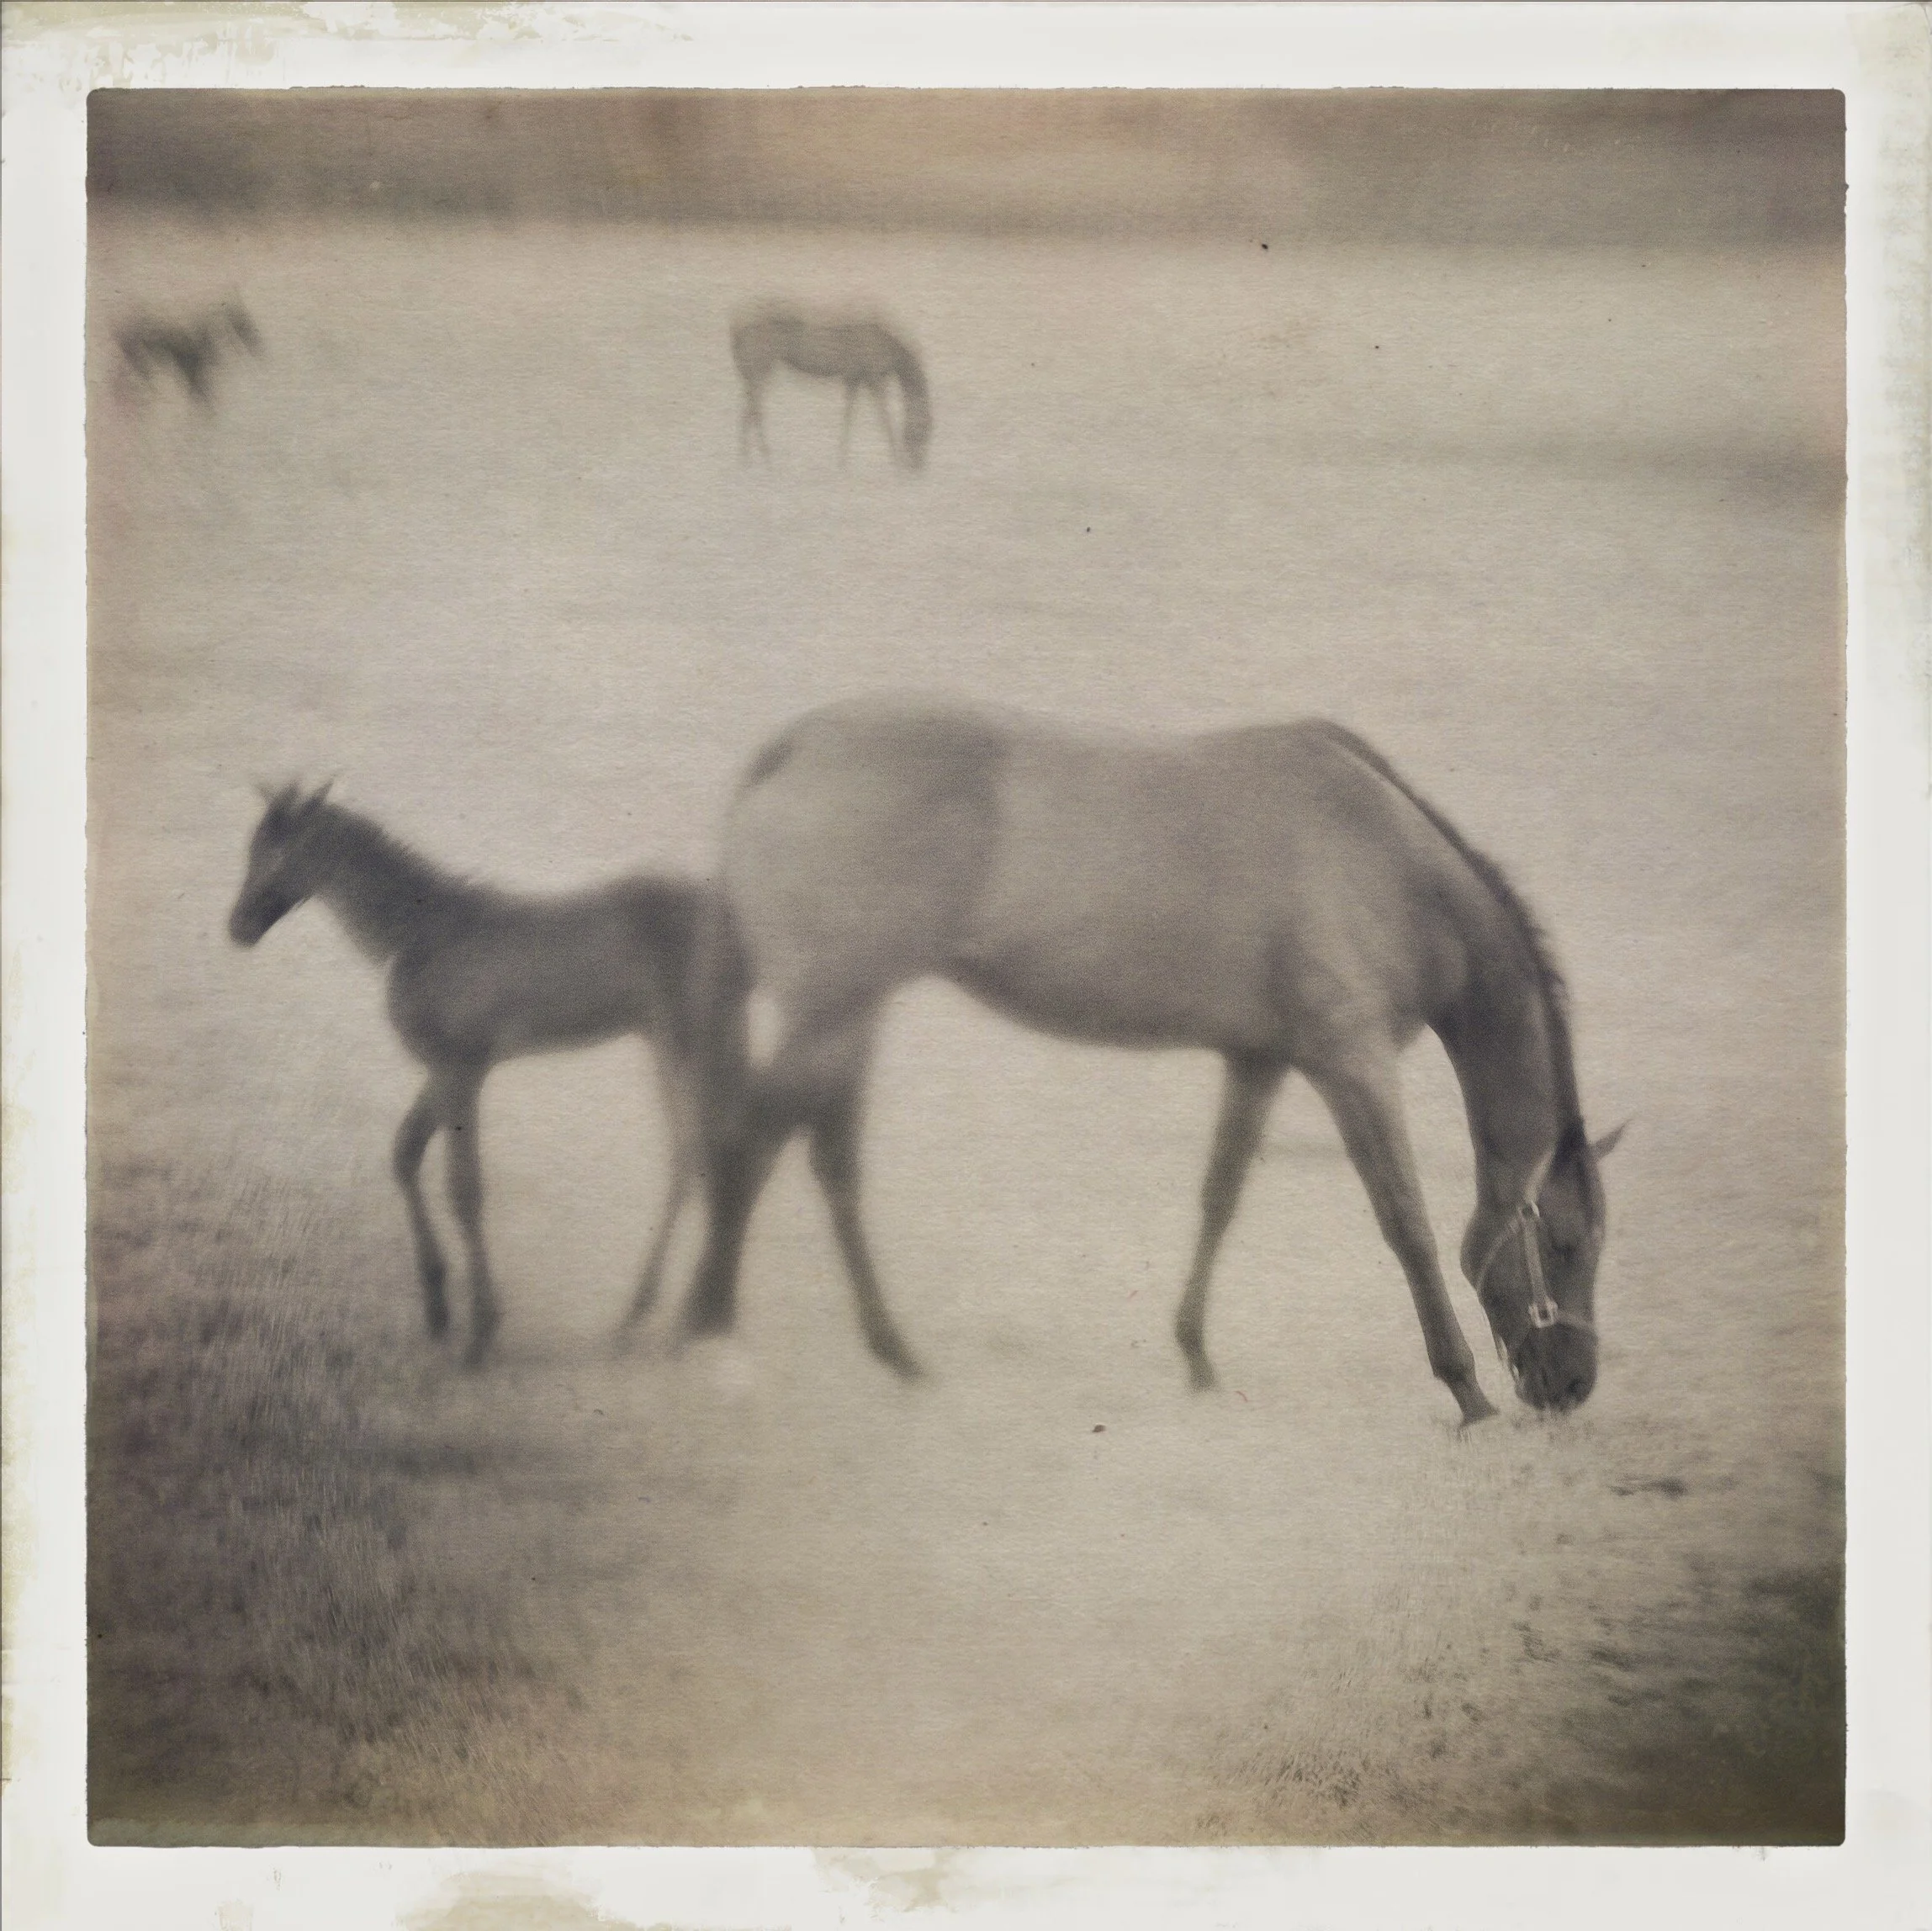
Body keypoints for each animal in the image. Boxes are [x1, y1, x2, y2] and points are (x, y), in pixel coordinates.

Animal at [228, 784, 709, 1367]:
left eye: (279, 853)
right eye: (252, 847)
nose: (238, 928)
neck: (421, 934)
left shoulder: (465, 1067)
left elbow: (464, 1188)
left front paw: (481, 1331)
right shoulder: (443, 1069)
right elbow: (406, 1154)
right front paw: (438, 1309)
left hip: (689, 1039)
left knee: (703, 1152)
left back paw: (669, 1316)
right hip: (665, 1045)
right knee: (689, 1156)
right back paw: (652, 1316)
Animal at [676, 698, 1625, 1424]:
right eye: (1566, 1242)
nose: (1573, 1384)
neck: (1385, 862)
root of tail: (794, 748)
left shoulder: (1258, 1060)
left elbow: (1219, 1198)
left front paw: (1195, 1358)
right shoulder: (1348, 1062)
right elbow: (1406, 1225)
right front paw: (1465, 1391)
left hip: (848, 1012)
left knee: (822, 1158)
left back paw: (894, 1354)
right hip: (830, 1012)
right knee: (752, 1144)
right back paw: (714, 1336)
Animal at [730, 304, 931, 470]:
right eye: (924, 429)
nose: (918, 467)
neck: (887, 346)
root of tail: (739, 334)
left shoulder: (854, 379)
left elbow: (848, 417)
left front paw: (842, 461)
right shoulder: (873, 379)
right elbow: (884, 417)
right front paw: (896, 461)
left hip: (755, 376)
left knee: (749, 411)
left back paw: (748, 460)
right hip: (761, 372)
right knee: (753, 412)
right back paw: (763, 461)